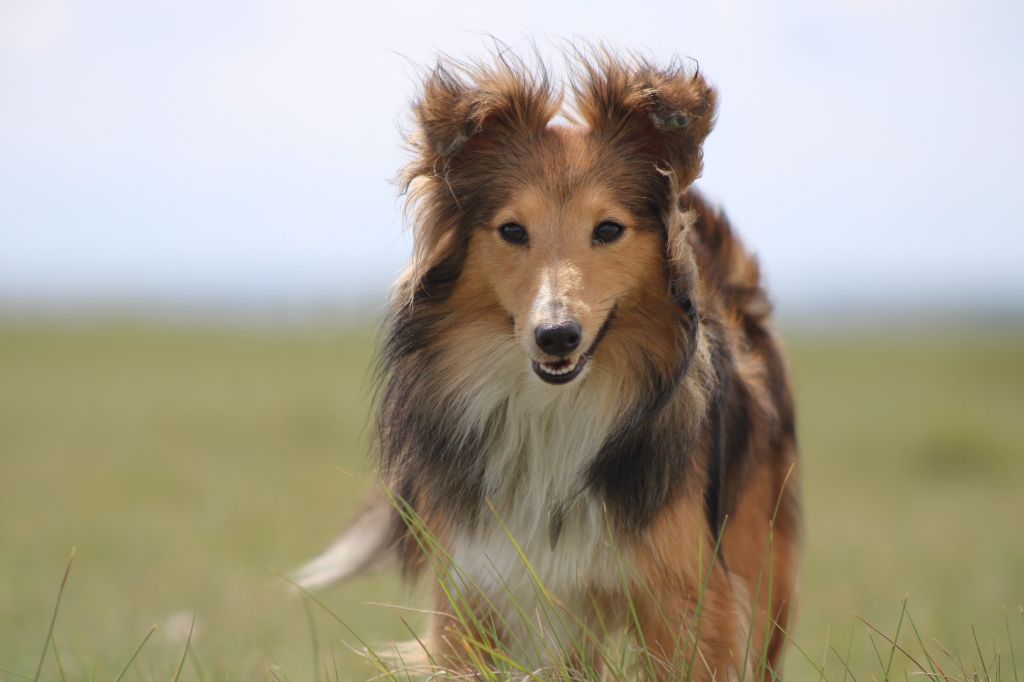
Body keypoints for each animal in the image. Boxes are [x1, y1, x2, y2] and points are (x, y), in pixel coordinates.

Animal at [296, 49, 798, 679]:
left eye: (608, 229)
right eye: (513, 230)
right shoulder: (473, 591)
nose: (556, 336)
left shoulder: (688, 600)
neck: (553, 411)